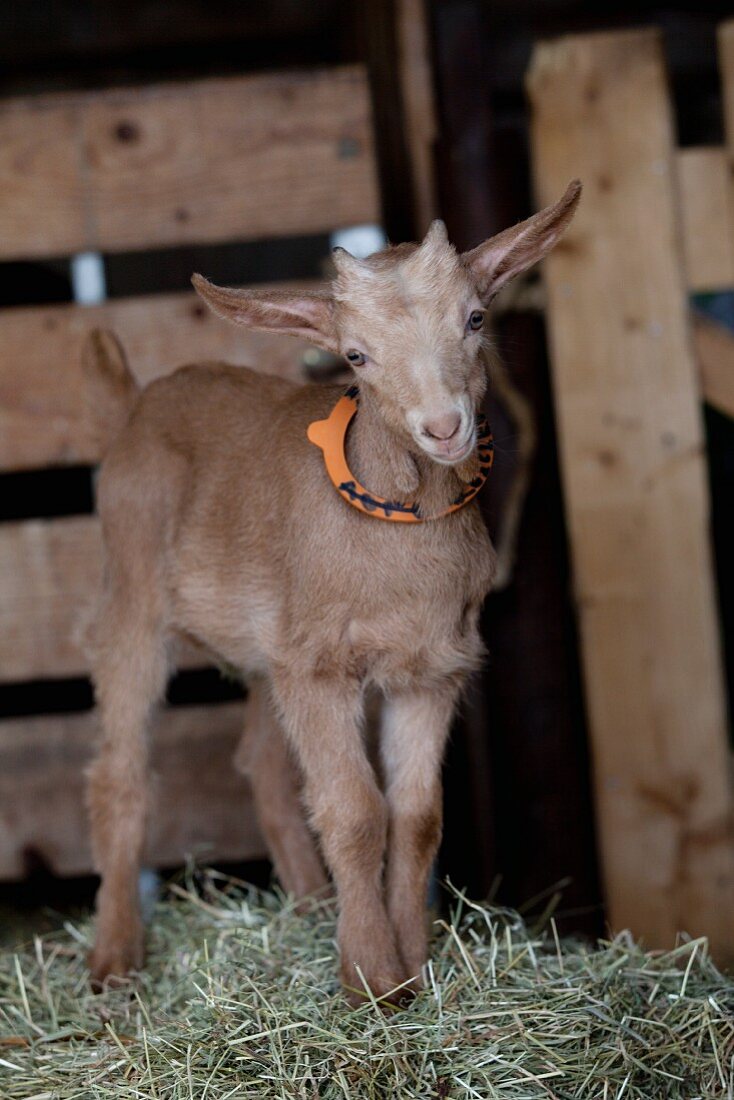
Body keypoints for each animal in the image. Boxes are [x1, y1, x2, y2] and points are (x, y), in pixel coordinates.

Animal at [84, 182, 581, 1007]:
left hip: (267, 648)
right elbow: (355, 811)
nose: (443, 427)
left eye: (476, 318)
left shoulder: (428, 670)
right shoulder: (319, 669)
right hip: (132, 591)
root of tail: (130, 408)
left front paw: (414, 967)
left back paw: (313, 907)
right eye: (355, 355)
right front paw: (372, 977)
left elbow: (416, 816)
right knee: (121, 771)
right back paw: (115, 958)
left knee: (260, 763)